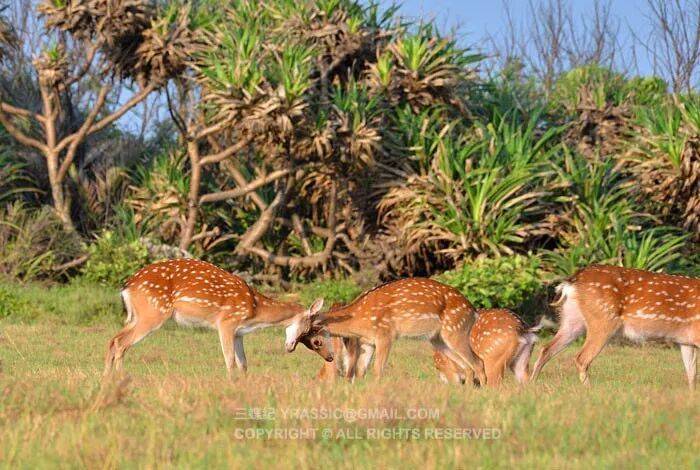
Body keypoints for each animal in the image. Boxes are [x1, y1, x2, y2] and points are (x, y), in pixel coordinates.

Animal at [102, 258, 333, 379]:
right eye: (308, 330)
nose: (290, 348)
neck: (255, 310)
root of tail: (127, 287)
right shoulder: (226, 322)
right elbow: (229, 360)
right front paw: (231, 384)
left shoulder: (239, 333)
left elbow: (243, 363)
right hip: (153, 312)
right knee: (122, 343)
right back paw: (122, 378)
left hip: (136, 315)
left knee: (113, 339)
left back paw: (107, 378)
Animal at [284, 278, 488, 385]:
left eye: (316, 341)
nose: (289, 346)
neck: (358, 321)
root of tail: (473, 312)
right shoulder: (367, 342)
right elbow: (360, 371)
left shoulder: (385, 334)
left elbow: (377, 369)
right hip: (438, 339)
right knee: (467, 367)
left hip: (456, 330)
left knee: (478, 362)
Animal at [530, 264, 700, 389]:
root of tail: (572, 281)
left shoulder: (686, 341)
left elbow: (691, 374)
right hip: (603, 320)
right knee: (581, 357)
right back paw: (589, 390)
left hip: (573, 319)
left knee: (546, 348)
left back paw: (530, 384)